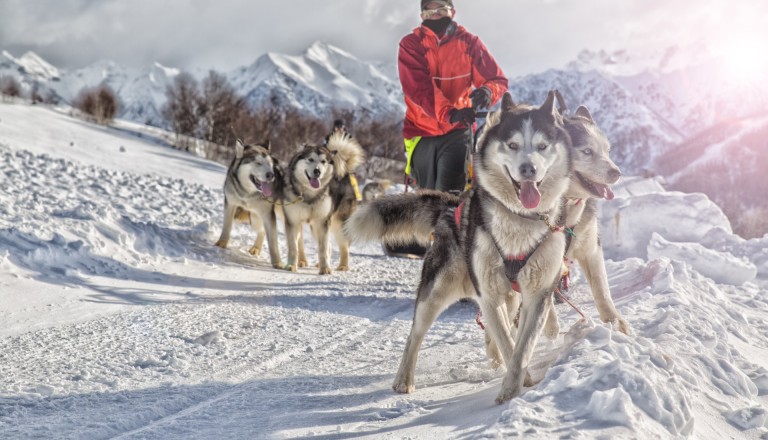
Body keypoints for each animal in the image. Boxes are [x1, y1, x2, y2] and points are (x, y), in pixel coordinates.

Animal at [282, 132, 366, 274]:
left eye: (323, 162)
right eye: (310, 159)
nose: (317, 171)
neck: (310, 194)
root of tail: (345, 172)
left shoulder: (322, 221)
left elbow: (323, 249)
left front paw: (325, 269)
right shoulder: (293, 221)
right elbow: (294, 247)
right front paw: (291, 266)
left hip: (338, 224)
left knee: (344, 247)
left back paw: (343, 266)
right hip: (315, 227)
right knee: (331, 245)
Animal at [344, 92, 572, 402]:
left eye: (542, 145)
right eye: (512, 145)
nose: (528, 169)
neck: (519, 219)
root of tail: (451, 205)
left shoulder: (537, 294)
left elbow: (521, 348)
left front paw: (514, 385)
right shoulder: (488, 295)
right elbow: (508, 341)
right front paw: (512, 389)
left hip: (508, 296)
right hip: (437, 290)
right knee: (415, 333)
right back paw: (404, 379)